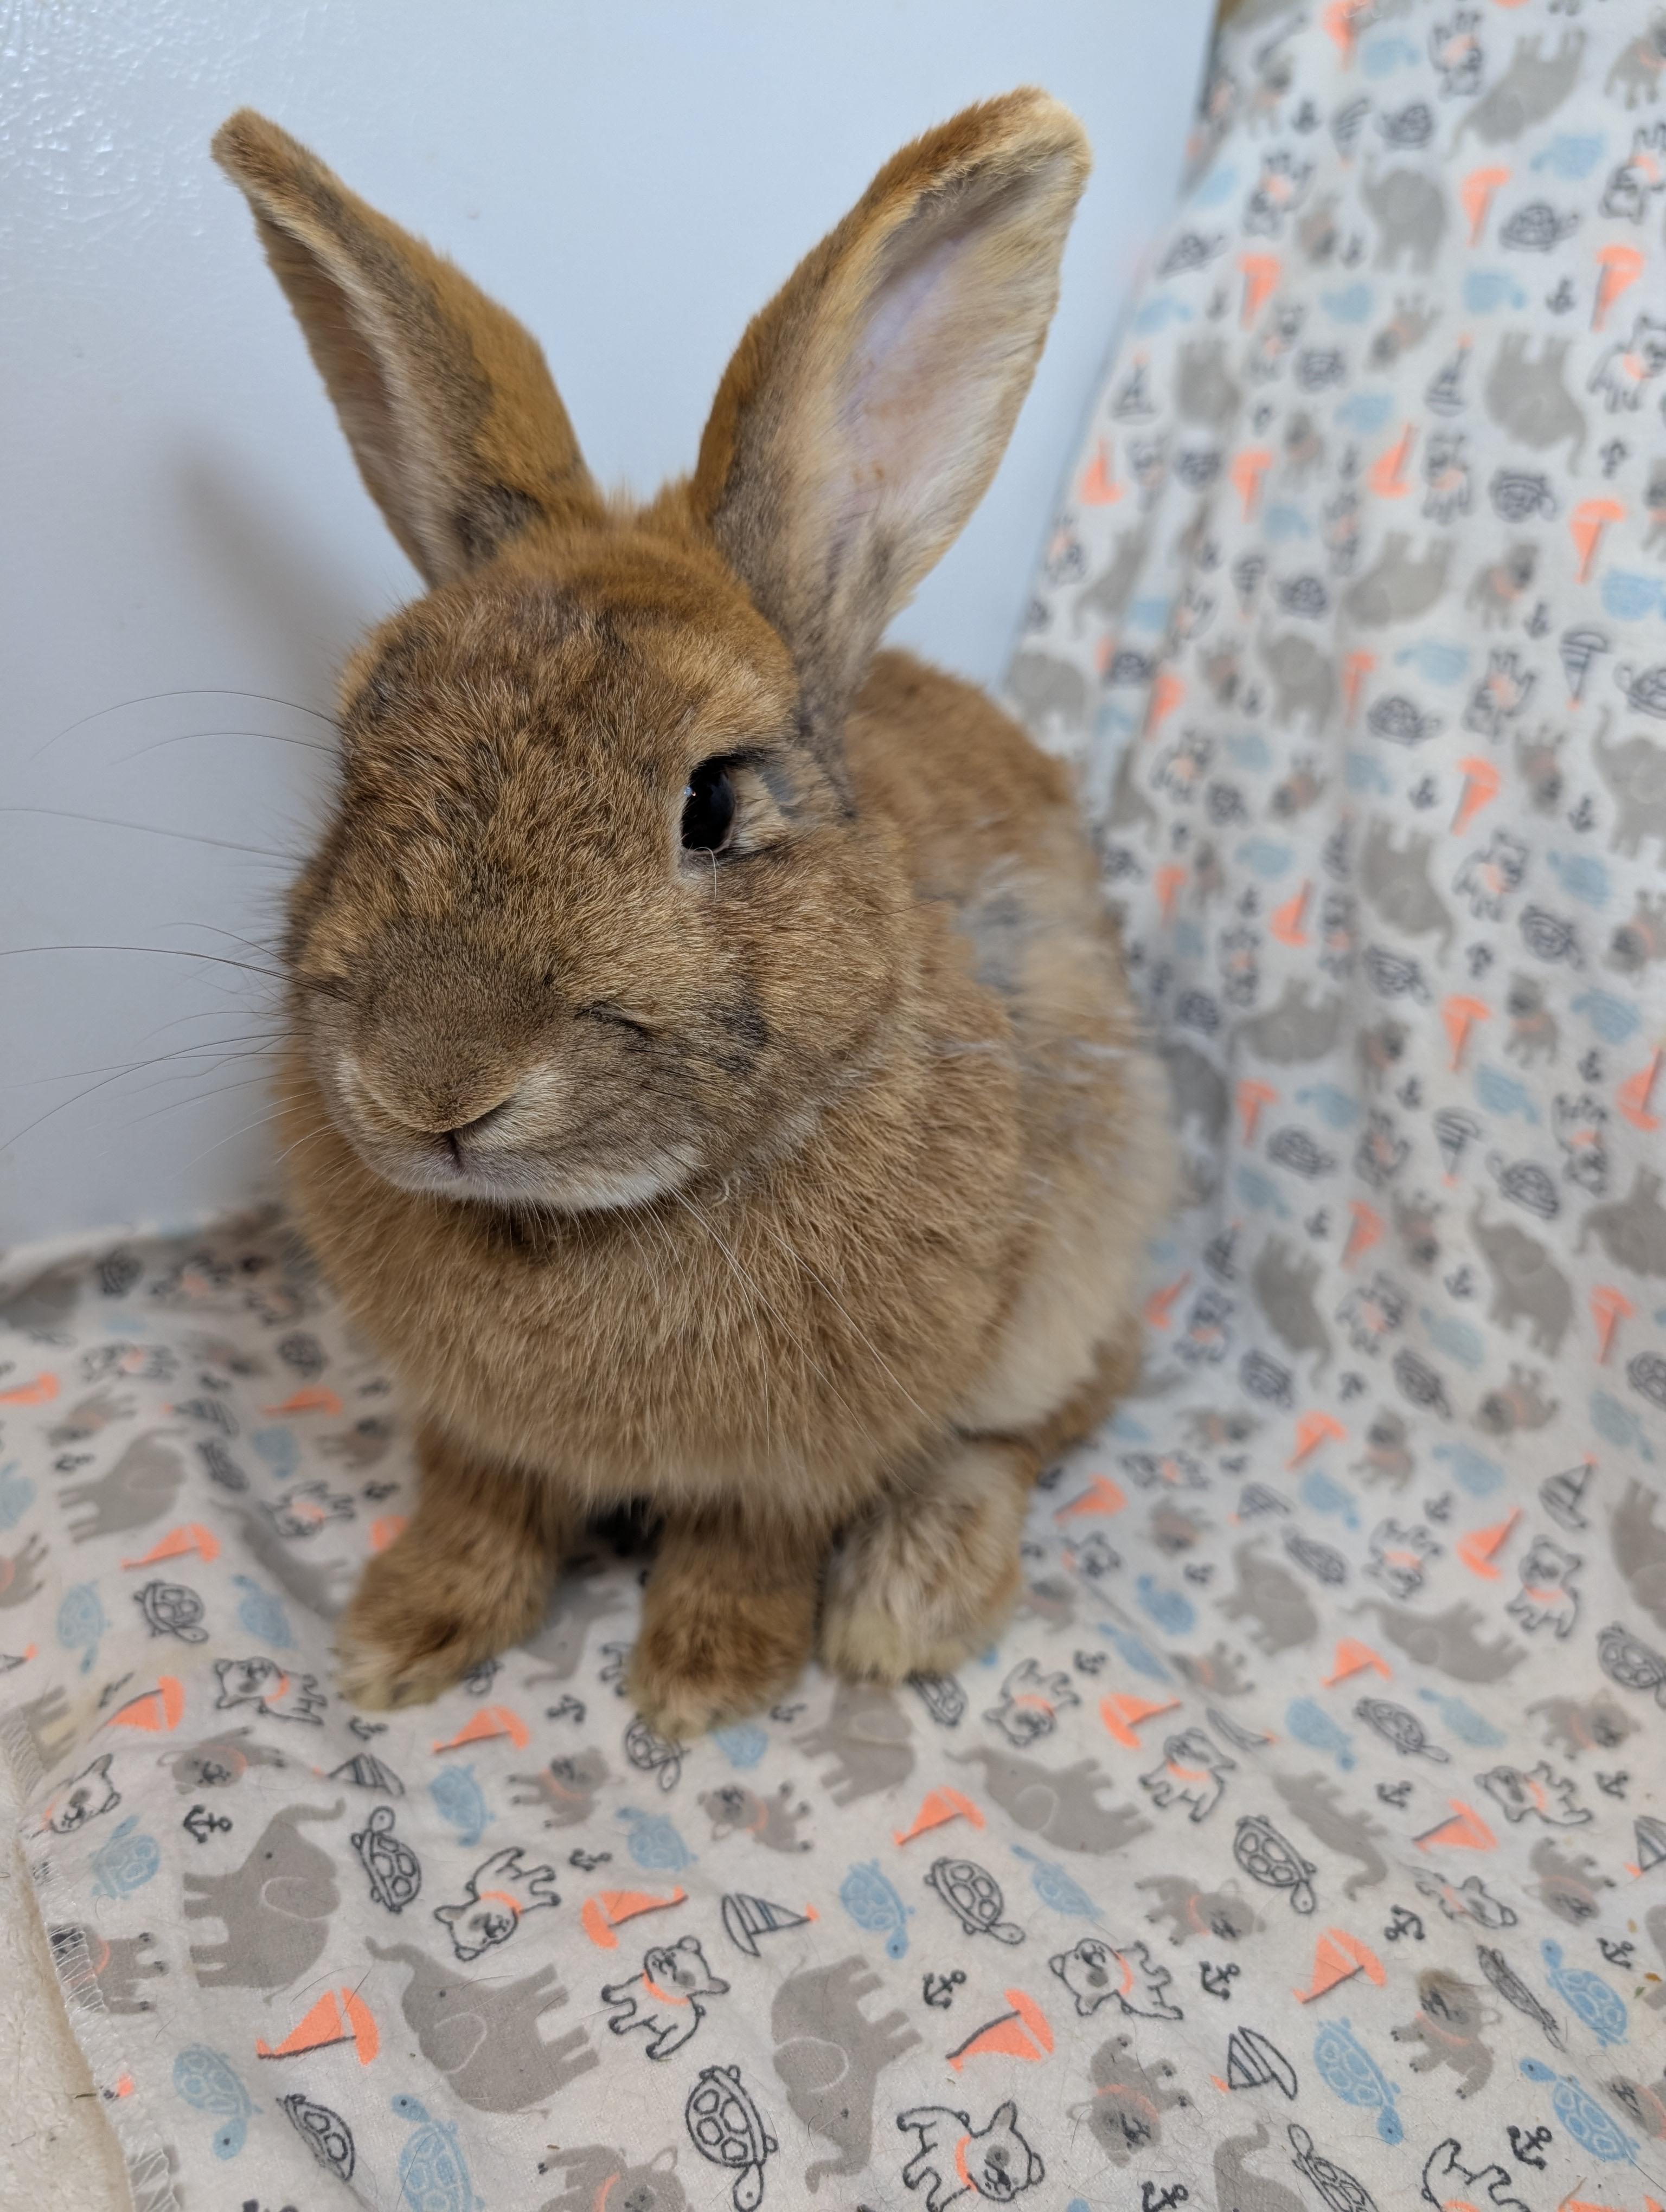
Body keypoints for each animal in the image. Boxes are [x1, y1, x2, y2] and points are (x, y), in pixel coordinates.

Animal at [211, 92, 1175, 1739]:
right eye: (358, 752)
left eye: (714, 803)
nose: (432, 1085)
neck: (582, 1220)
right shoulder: (474, 1430)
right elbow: (478, 1507)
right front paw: (402, 1635)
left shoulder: (809, 1449)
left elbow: (751, 1538)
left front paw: (705, 1679)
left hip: (1075, 1249)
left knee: (1043, 1421)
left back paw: (911, 1598)